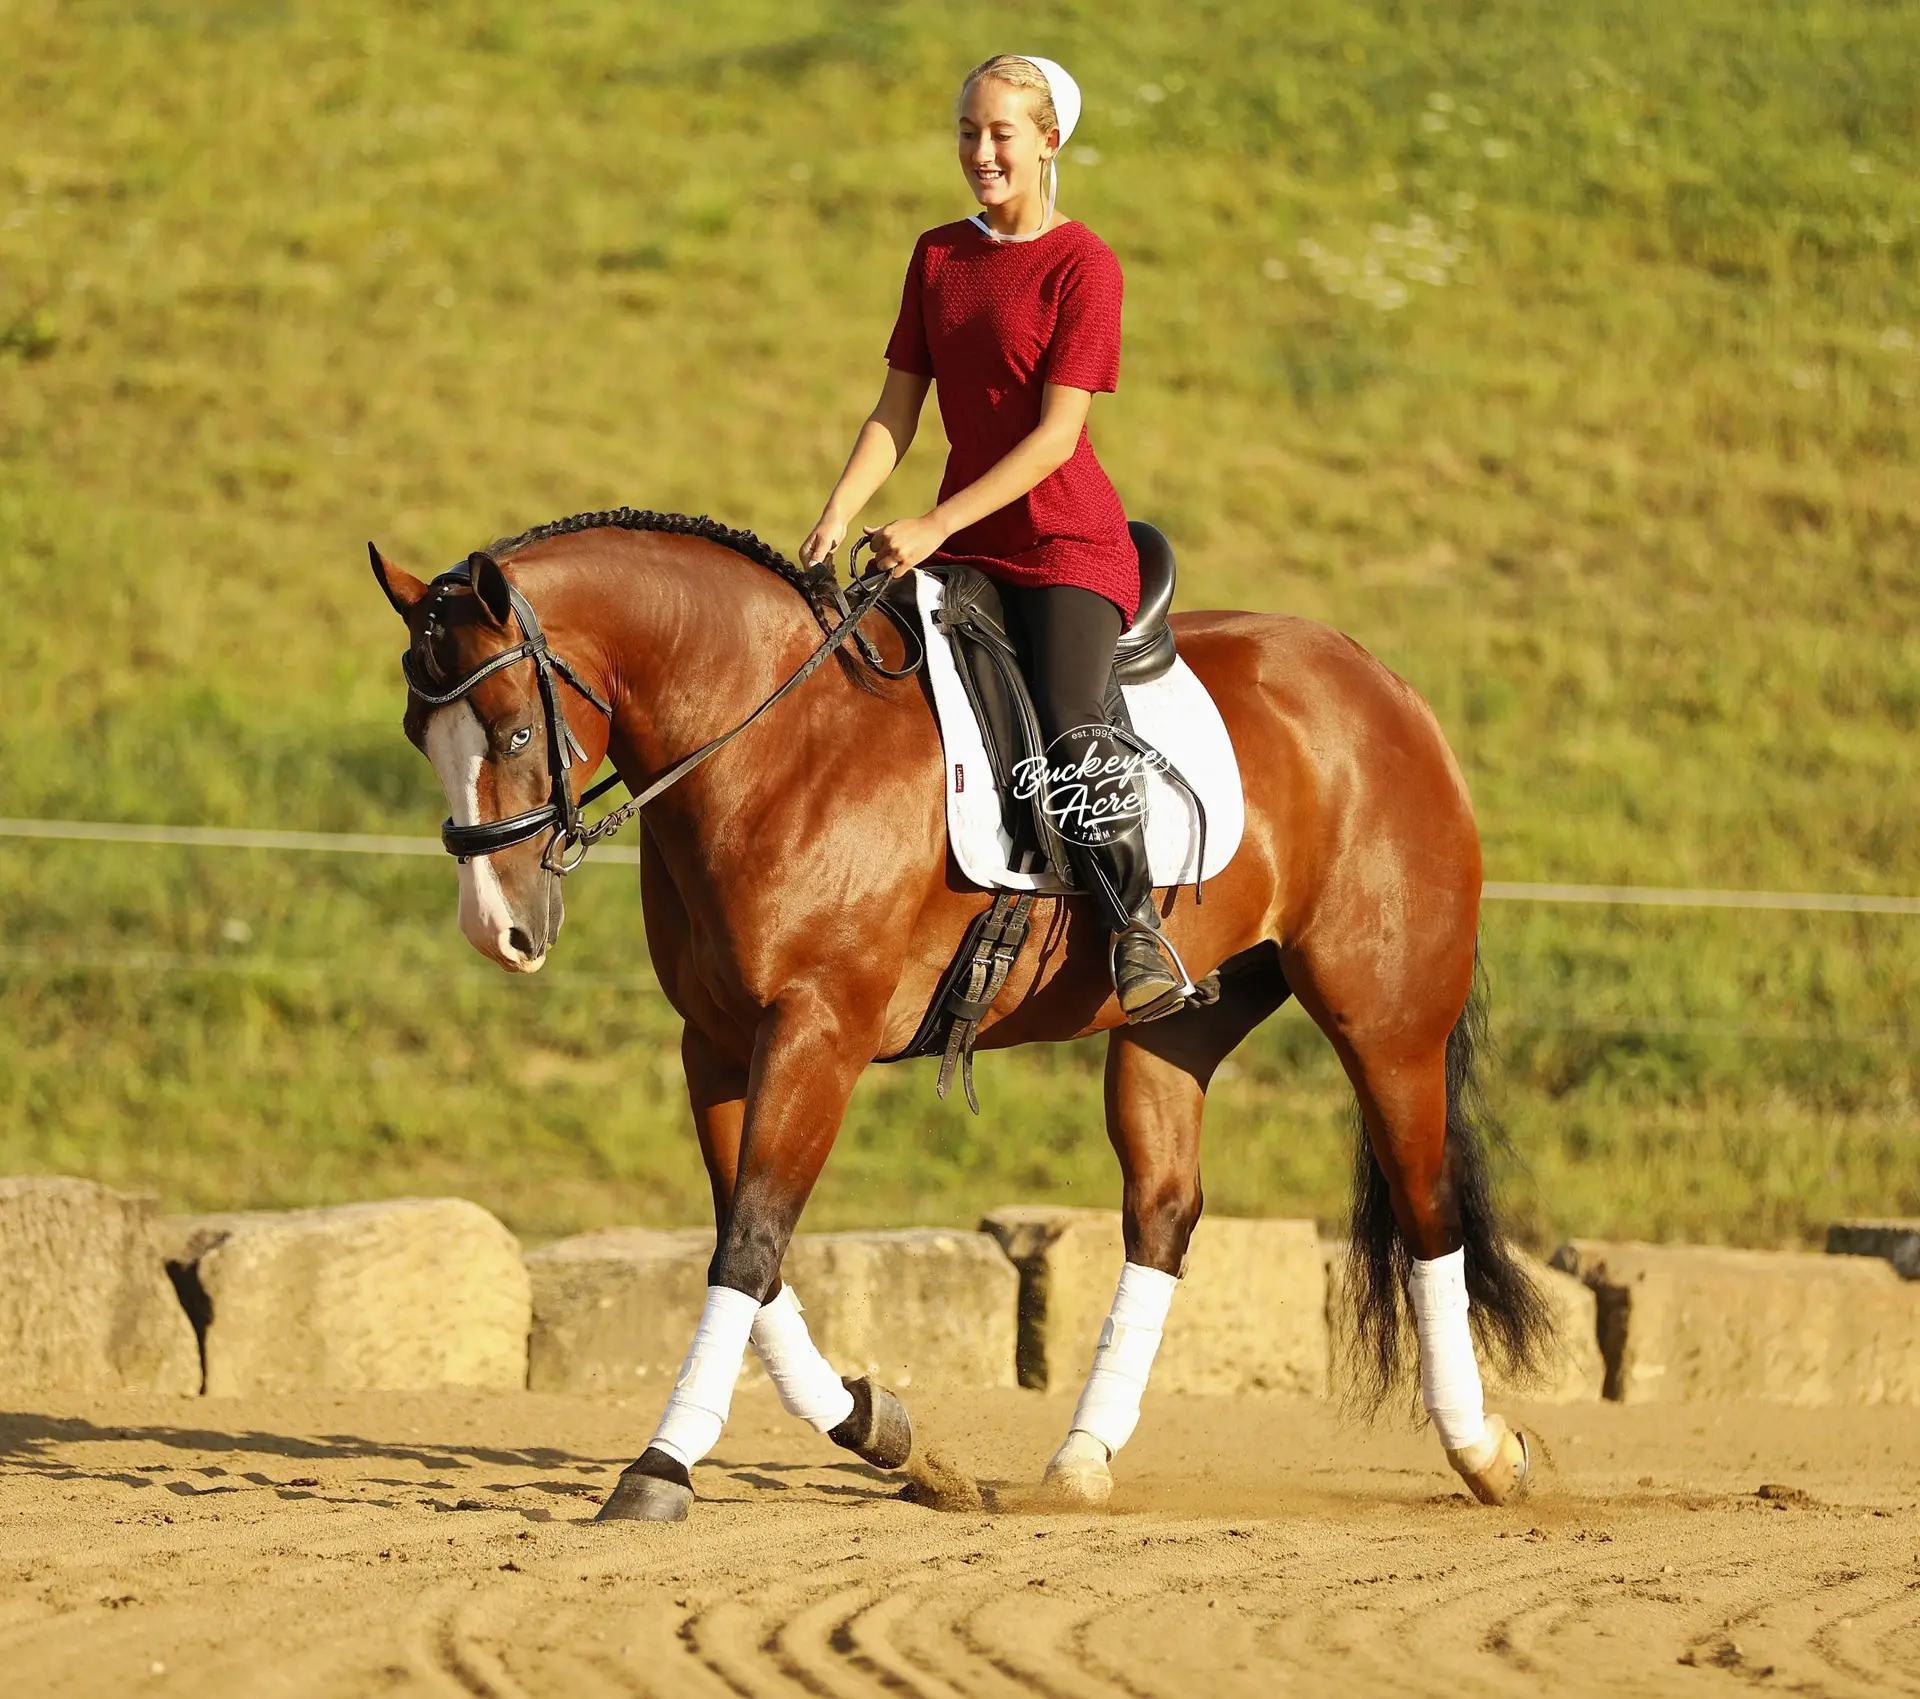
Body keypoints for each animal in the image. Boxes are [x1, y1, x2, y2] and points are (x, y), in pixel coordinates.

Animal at [368, 507, 1552, 1521]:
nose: (498, 930)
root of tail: (1382, 683)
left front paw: (660, 1467)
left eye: (514, 734)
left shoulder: (817, 1032)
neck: (776, 745)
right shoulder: (717, 1043)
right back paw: (1080, 1460)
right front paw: (884, 1430)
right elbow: (755, 1249)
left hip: (1386, 1021)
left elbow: (748, 1244)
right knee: (1165, 1212)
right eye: (418, 732)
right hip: (1176, 1028)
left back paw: (1484, 1454)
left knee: (1427, 1206)